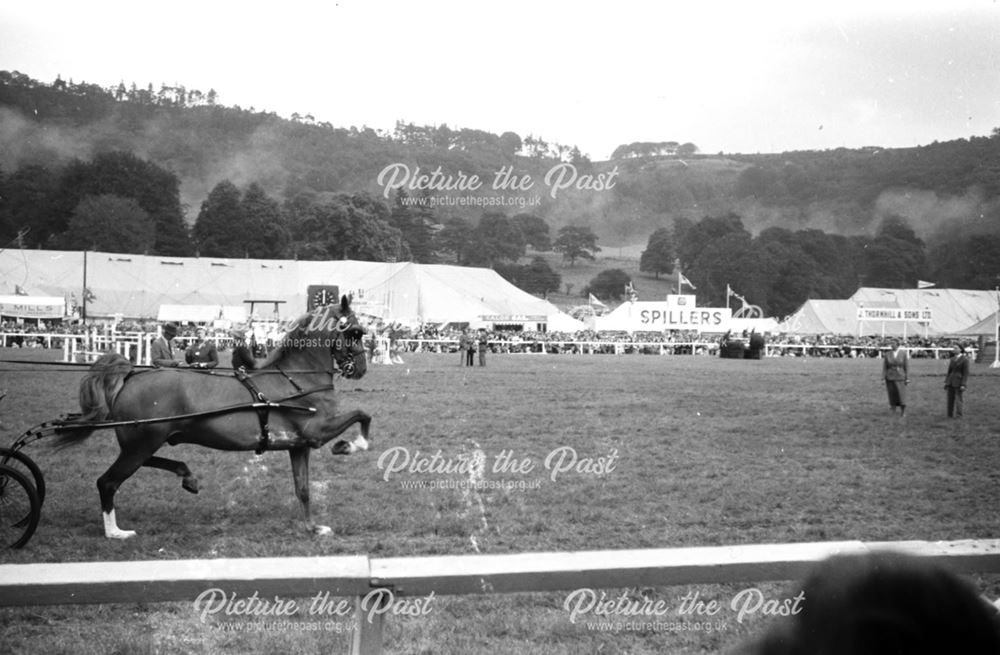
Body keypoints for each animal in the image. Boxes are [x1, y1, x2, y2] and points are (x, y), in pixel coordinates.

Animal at [52, 296, 372, 540]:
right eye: (355, 332)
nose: (361, 368)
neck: (296, 380)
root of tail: (130, 376)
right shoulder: (318, 432)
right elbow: (363, 415)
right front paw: (348, 446)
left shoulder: (300, 445)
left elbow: (303, 489)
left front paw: (312, 527)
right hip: (141, 444)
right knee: (107, 482)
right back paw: (115, 532)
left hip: (146, 442)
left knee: (148, 464)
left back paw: (187, 476)